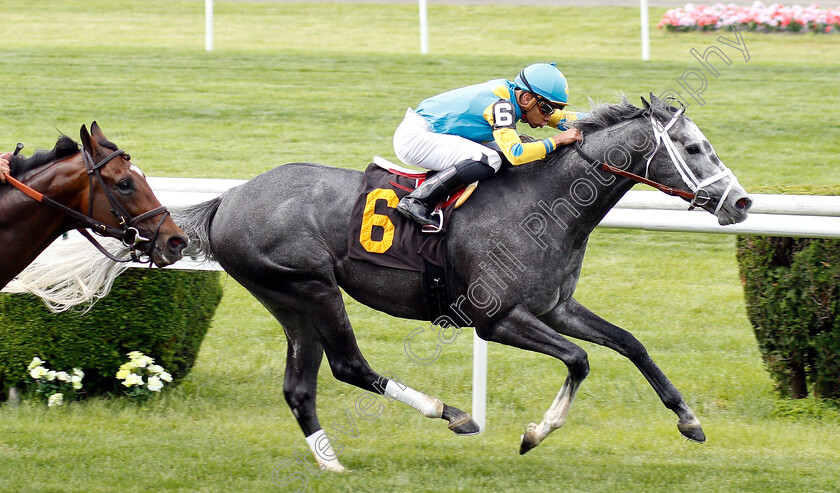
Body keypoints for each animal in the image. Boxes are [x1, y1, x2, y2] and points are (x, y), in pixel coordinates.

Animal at [179, 95, 756, 468]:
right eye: (694, 147)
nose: (743, 202)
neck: (542, 206)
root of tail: (230, 197)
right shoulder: (495, 319)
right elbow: (579, 359)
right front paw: (535, 433)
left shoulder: (555, 307)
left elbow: (630, 343)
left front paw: (688, 419)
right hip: (310, 287)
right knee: (348, 366)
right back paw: (451, 414)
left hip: (289, 300)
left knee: (300, 387)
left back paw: (332, 464)